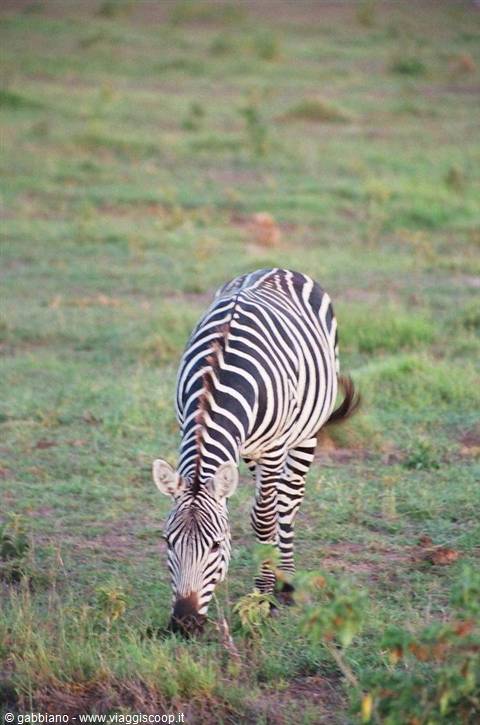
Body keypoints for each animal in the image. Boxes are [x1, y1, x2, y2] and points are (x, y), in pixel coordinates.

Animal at [152, 268, 359, 635]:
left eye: (216, 544)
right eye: (167, 541)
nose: (185, 624)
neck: (215, 379)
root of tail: (279, 269)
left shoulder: (274, 446)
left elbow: (264, 518)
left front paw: (263, 597)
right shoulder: (191, 427)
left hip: (306, 431)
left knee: (288, 500)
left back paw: (286, 581)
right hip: (251, 452)